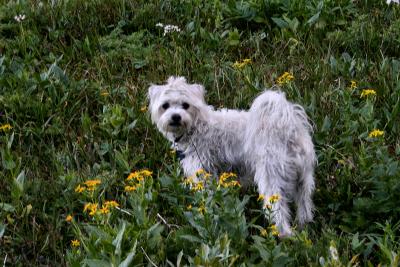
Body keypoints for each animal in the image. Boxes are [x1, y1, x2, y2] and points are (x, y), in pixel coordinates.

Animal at [148, 76, 318, 237]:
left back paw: (283, 234)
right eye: (165, 105)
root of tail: (288, 130)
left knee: (279, 209)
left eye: (185, 105)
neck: (196, 126)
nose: (176, 116)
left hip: (271, 178)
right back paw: (303, 226)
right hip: (303, 179)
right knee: (304, 204)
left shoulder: (203, 171)